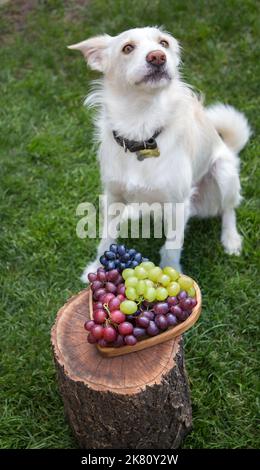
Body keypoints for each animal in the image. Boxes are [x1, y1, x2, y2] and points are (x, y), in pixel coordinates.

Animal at [68, 26, 250, 282]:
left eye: (164, 43)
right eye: (127, 48)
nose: (157, 57)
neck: (141, 124)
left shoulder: (178, 204)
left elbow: (172, 246)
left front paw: (172, 276)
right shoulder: (112, 195)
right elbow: (106, 238)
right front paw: (95, 269)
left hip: (224, 173)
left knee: (229, 209)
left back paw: (231, 239)